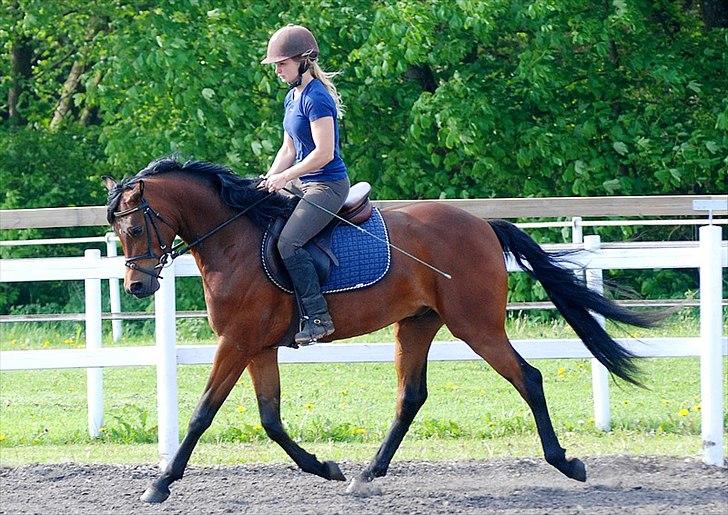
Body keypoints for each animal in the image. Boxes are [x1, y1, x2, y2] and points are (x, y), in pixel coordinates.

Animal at [104, 157, 660, 504]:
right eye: (117, 232)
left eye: (133, 227)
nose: (137, 286)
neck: (233, 240)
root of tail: (483, 225)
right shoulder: (257, 346)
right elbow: (271, 419)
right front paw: (324, 468)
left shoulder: (236, 343)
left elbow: (202, 414)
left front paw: (160, 483)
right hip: (415, 325)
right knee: (410, 396)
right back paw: (367, 474)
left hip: (476, 326)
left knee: (529, 378)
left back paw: (566, 463)